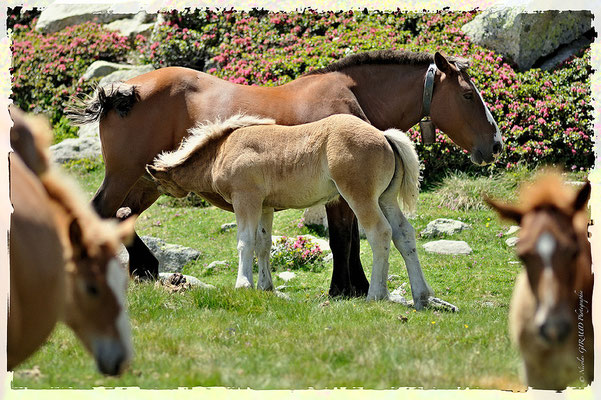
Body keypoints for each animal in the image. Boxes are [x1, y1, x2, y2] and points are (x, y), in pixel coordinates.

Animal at [145, 113, 442, 310]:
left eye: (159, 184)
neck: (222, 150)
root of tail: (383, 135)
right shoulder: (265, 207)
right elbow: (263, 244)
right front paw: (265, 287)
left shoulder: (246, 200)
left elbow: (245, 242)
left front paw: (243, 285)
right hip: (386, 199)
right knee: (404, 235)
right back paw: (421, 296)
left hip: (361, 197)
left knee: (380, 233)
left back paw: (376, 295)